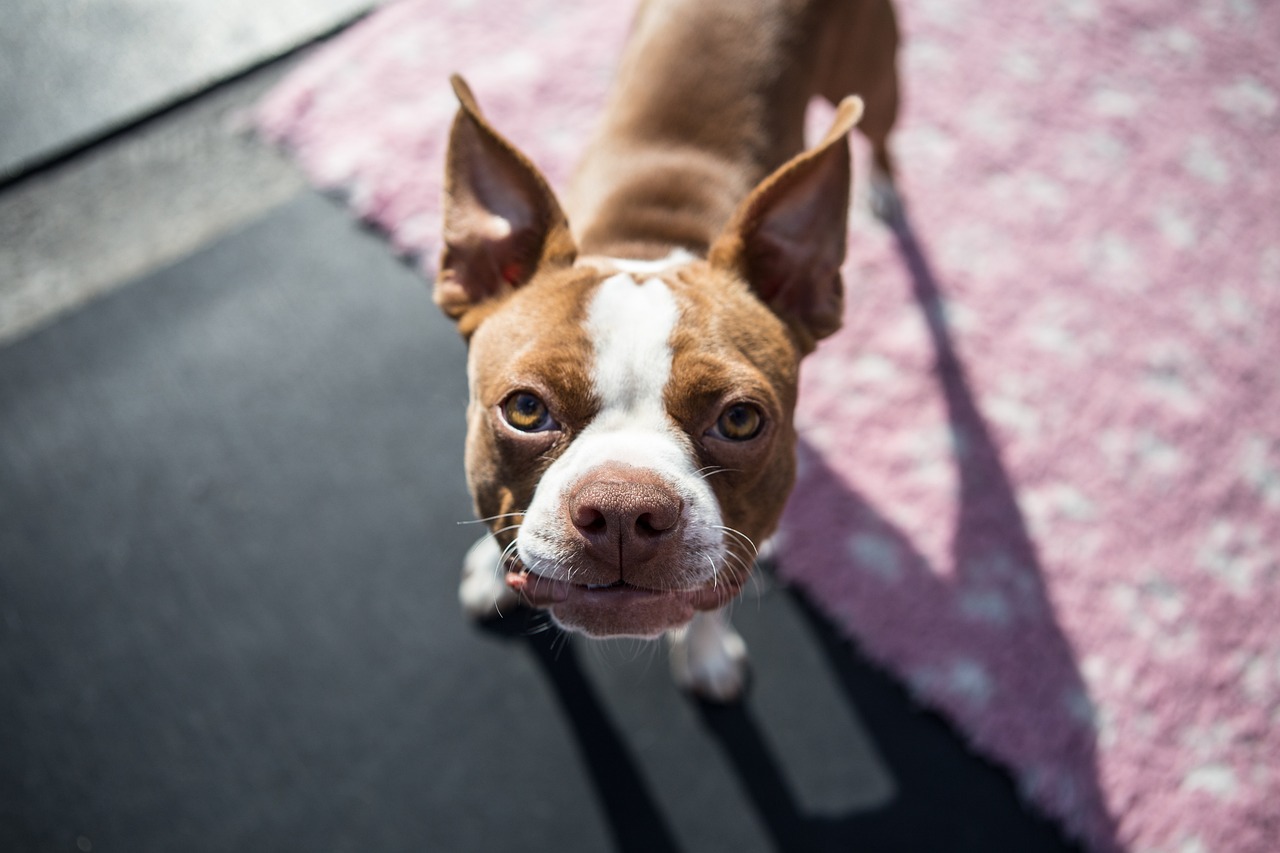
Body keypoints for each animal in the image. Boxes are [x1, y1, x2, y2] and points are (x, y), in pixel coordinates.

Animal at [440, 0, 901, 696]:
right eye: (524, 409)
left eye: (740, 420)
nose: (623, 510)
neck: (649, 243)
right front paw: (490, 569)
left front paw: (707, 654)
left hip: (875, 78)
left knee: (881, 133)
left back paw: (884, 188)